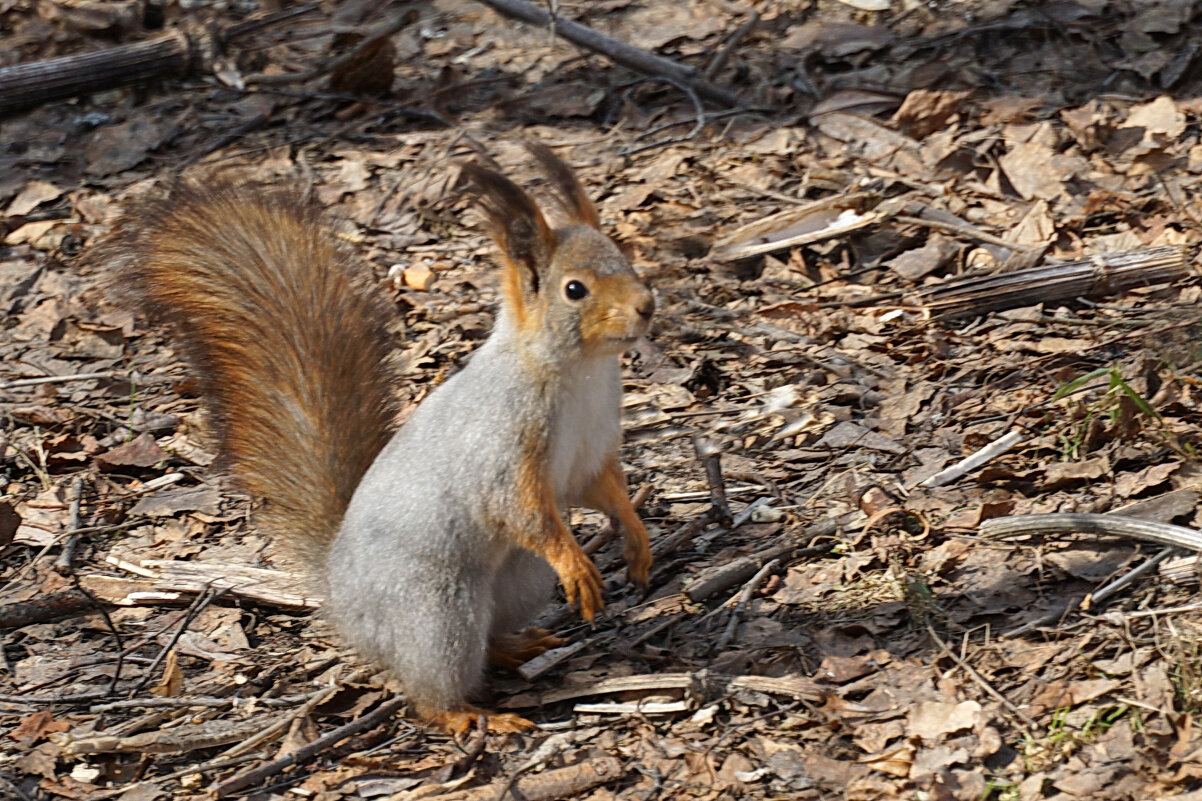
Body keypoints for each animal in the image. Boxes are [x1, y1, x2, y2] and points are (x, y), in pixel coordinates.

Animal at [103, 143, 658, 731]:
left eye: (625, 257)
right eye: (575, 290)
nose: (647, 305)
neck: (579, 374)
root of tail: (339, 595)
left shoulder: (592, 449)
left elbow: (604, 491)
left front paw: (636, 537)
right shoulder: (501, 449)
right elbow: (524, 512)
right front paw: (576, 563)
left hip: (519, 581)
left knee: (487, 637)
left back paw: (515, 646)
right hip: (436, 611)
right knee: (431, 683)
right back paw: (466, 715)